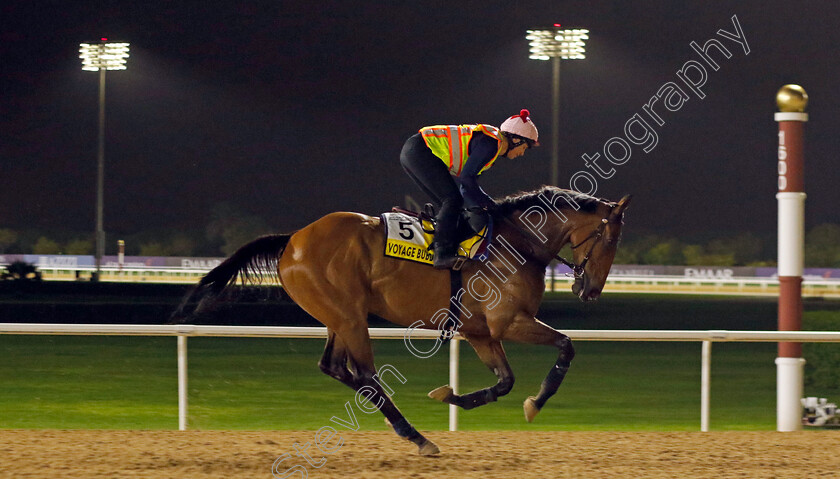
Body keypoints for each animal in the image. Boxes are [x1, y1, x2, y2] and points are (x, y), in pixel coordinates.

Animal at [172, 186, 632, 456]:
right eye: (610, 238)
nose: (590, 290)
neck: (516, 242)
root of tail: (293, 240)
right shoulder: (509, 322)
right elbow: (565, 346)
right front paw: (536, 403)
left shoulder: (480, 331)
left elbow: (504, 382)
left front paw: (451, 396)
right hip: (351, 318)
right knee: (365, 373)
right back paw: (417, 436)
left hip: (339, 316)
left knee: (334, 366)